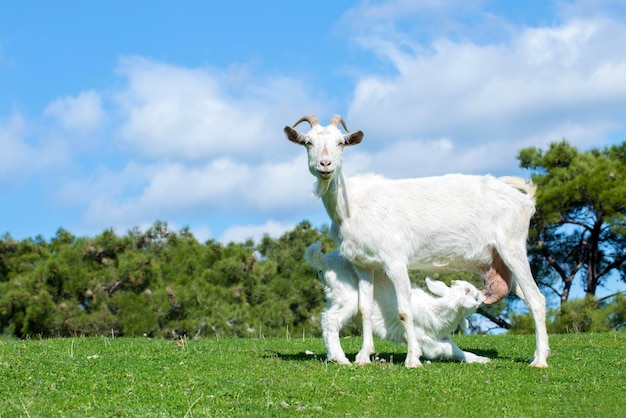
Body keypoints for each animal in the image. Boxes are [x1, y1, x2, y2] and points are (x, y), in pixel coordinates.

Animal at [304, 243, 490, 364]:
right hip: (347, 296)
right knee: (331, 320)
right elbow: (445, 349)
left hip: (335, 296)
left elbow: (458, 350)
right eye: (474, 296)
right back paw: (340, 358)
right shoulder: (424, 338)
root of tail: (325, 261)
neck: (436, 311)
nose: (484, 294)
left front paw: (480, 359)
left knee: (326, 318)